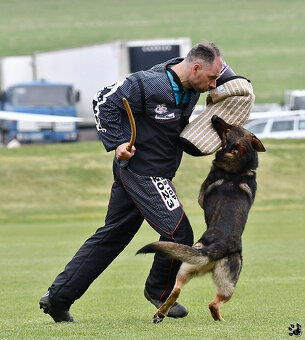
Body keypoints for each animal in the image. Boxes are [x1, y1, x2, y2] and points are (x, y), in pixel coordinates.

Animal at [137, 115, 264, 322]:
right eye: (232, 126)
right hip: (217, 281)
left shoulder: (202, 197)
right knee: (199, 298)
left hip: (192, 266)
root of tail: (217, 248)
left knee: (189, 295)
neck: (240, 169)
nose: (215, 116)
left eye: (228, 130)